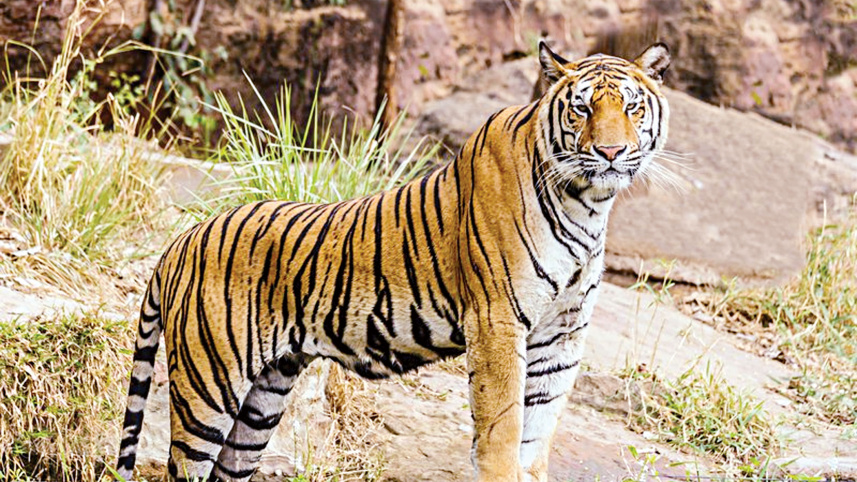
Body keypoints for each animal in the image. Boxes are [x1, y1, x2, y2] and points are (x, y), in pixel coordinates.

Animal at [115, 41, 670, 482]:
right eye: (581, 109)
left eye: (632, 107)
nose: (611, 152)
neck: (588, 204)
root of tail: (181, 241)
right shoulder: (497, 321)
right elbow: (502, 429)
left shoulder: (562, 335)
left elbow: (537, 434)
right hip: (208, 387)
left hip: (262, 400)